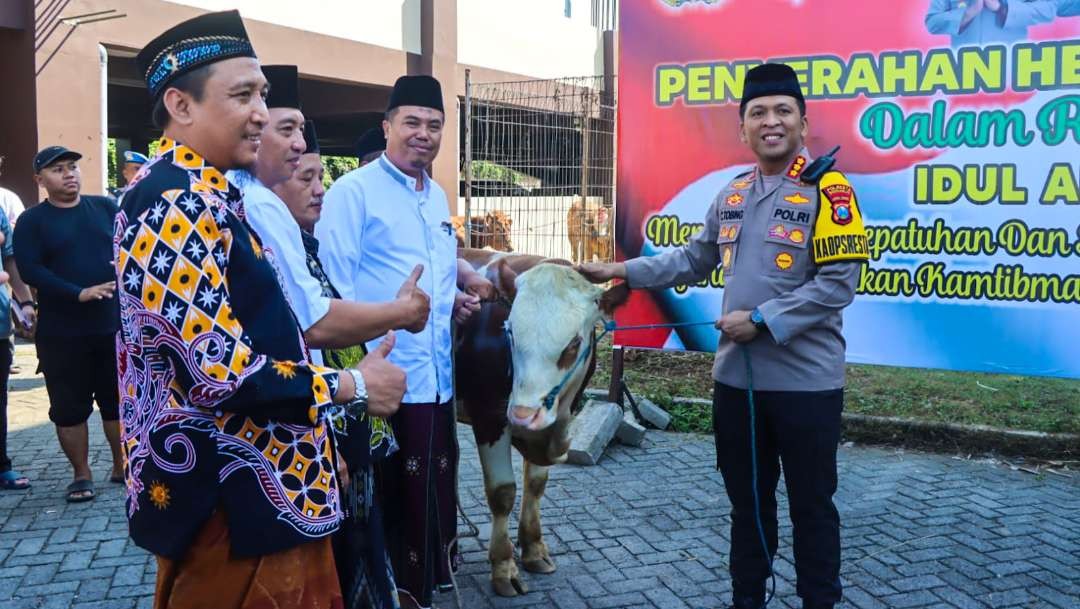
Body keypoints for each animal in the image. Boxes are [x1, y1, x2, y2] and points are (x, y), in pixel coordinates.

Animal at [453, 246, 626, 596]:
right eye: (509, 332)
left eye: (573, 344)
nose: (522, 414)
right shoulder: (490, 418)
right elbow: (503, 492)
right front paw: (503, 567)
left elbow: (535, 484)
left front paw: (534, 550)